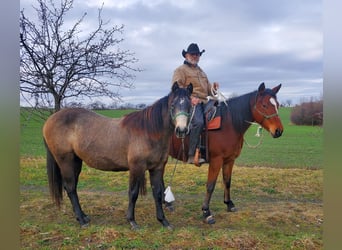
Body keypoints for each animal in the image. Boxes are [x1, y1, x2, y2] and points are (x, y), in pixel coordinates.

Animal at [42, 82, 192, 229]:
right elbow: (133, 193)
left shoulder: (157, 167)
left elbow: (158, 193)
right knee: (71, 187)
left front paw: (164, 221)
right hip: (65, 160)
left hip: (76, 161)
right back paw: (82, 221)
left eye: (190, 106)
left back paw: (83, 216)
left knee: (72, 187)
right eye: (173, 105)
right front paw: (132, 221)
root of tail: (50, 120)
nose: (181, 130)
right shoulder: (137, 167)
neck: (149, 131)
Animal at [169, 82, 284, 225]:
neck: (229, 124)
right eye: (264, 105)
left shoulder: (229, 160)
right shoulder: (216, 160)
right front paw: (206, 212)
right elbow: (210, 185)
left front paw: (229, 204)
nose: (278, 131)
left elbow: (227, 181)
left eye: (277, 104)